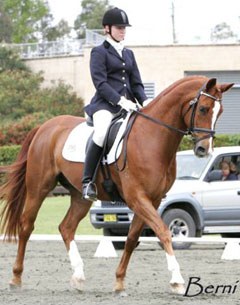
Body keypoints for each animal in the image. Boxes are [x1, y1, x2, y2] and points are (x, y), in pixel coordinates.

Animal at [0, 76, 233, 294]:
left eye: (220, 113)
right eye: (203, 108)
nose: (204, 149)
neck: (152, 138)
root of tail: (45, 126)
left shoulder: (152, 199)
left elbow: (131, 238)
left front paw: (119, 282)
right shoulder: (137, 197)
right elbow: (164, 231)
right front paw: (177, 281)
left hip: (80, 196)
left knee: (66, 227)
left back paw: (78, 277)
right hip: (38, 188)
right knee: (26, 226)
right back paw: (16, 278)